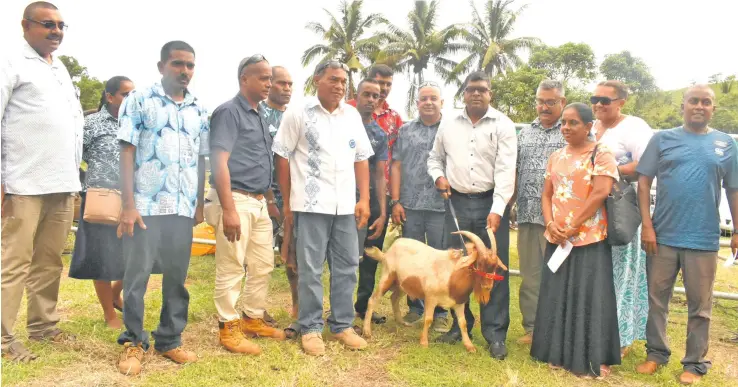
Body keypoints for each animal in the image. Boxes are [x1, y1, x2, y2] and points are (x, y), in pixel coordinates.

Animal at [360, 230, 506, 354]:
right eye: (479, 263)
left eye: (495, 266)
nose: (488, 287)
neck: (452, 274)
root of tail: (386, 253)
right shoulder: (430, 298)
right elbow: (428, 319)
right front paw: (424, 343)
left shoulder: (459, 303)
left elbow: (463, 323)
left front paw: (470, 346)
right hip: (387, 277)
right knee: (372, 299)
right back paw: (367, 331)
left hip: (401, 284)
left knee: (394, 298)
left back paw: (402, 322)